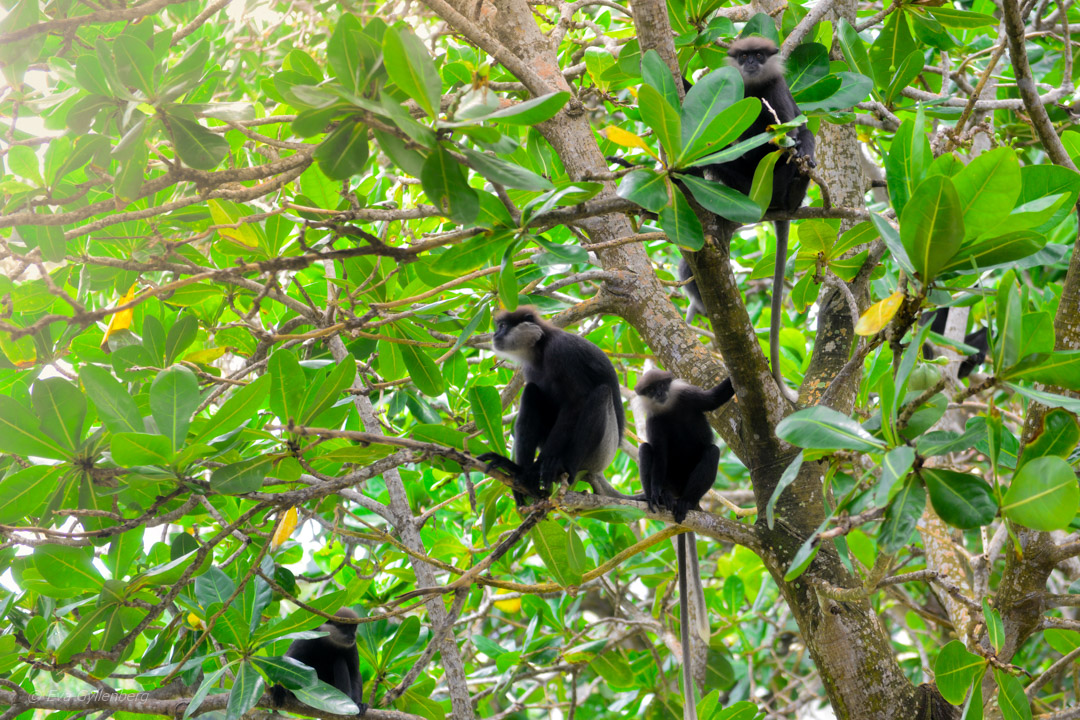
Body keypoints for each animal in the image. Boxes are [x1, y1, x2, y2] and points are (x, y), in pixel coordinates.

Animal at [630, 369, 738, 716]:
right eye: (651, 391)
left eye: (664, 386)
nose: (661, 394)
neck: (668, 407)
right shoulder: (654, 420)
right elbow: (658, 452)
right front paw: (652, 493)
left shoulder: (687, 396)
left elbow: (715, 399)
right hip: (668, 479)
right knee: (646, 451)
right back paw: (658, 498)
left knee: (712, 452)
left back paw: (688, 503)